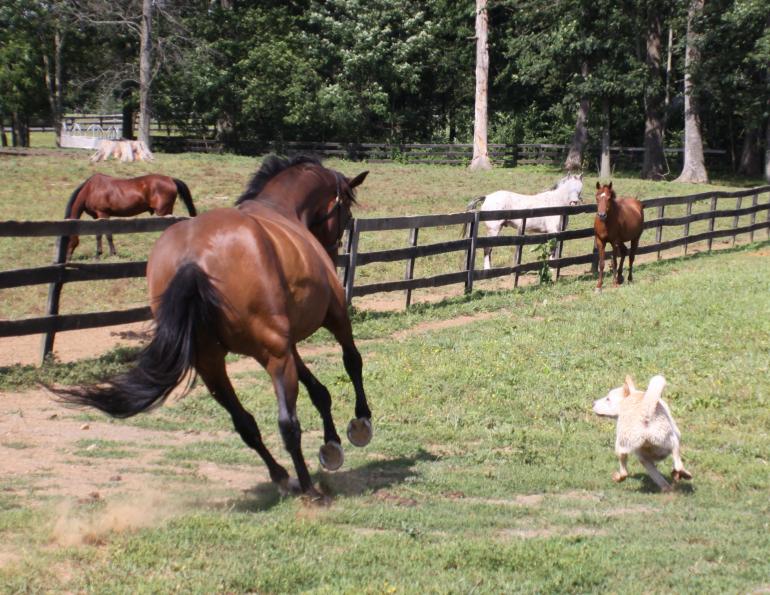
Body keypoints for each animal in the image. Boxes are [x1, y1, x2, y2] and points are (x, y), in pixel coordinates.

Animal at [64, 173, 197, 260]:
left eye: (68, 239)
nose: (67, 258)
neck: (92, 189)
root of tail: (170, 179)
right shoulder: (96, 217)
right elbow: (100, 235)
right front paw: (102, 254)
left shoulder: (103, 214)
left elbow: (106, 235)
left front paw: (108, 254)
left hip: (163, 212)